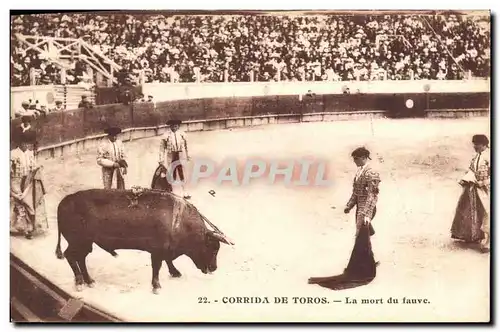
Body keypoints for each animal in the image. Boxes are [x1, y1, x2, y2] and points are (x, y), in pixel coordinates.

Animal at [54, 188, 234, 294]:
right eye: (213, 248)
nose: (214, 267)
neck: (179, 220)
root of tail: (64, 202)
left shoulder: (165, 250)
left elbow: (167, 261)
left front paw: (175, 273)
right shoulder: (157, 251)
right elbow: (157, 266)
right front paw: (156, 286)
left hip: (86, 244)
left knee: (80, 258)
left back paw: (89, 281)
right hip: (78, 242)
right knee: (71, 256)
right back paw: (80, 283)